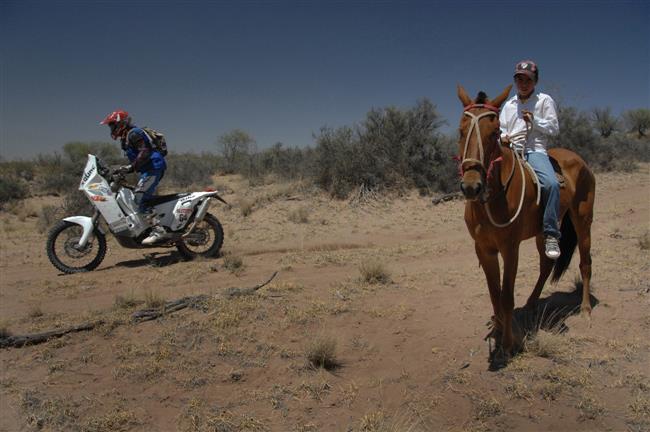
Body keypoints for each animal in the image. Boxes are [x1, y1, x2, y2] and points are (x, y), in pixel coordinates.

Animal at [456, 85, 592, 364]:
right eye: (461, 131)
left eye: (494, 133)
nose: (471, 186)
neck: (492, 198)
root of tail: (578, 159)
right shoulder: (483, 249)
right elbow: (494, 294)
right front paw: (498, 331)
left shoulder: (510, 248)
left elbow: (507, 296)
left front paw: (508, 344)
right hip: (543, 231)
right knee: (547, 263)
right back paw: (531, 303)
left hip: (583, 220)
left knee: (585, 262)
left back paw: (585, 309)